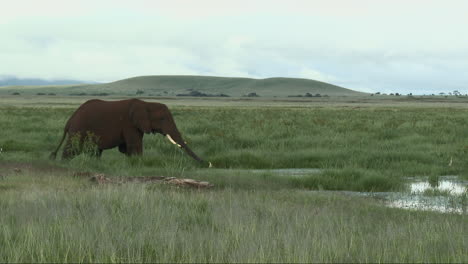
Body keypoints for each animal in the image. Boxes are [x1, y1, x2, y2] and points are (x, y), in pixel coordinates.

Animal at [49, 98, 210, 166]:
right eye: (163, 119)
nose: (208, 164)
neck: (146, 104)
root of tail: (70, 119)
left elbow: (126, 149)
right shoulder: (130, 124)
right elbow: (134, 145)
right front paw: (139, 164)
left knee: (94, 151)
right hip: (79, 129)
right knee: (72, 149)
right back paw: (65, 164)